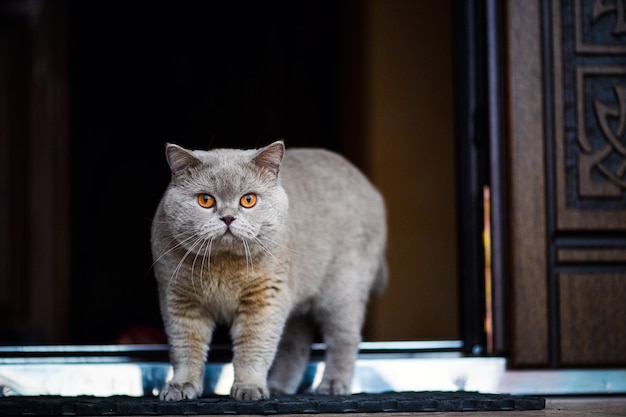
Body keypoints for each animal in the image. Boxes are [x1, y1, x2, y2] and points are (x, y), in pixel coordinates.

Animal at [151, 141, 386, 400]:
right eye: (205, 200)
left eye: (248, 200)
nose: (228, 217)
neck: (222, 266)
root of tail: (370, 188)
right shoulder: (178, 299)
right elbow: (185, 348)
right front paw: (180, 386)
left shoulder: (265, 298)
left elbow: (253, 347)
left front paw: (249, 388)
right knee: (296, 345)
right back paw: (279, 387)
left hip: (342, 290)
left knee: (344, 339)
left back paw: (333, 386)